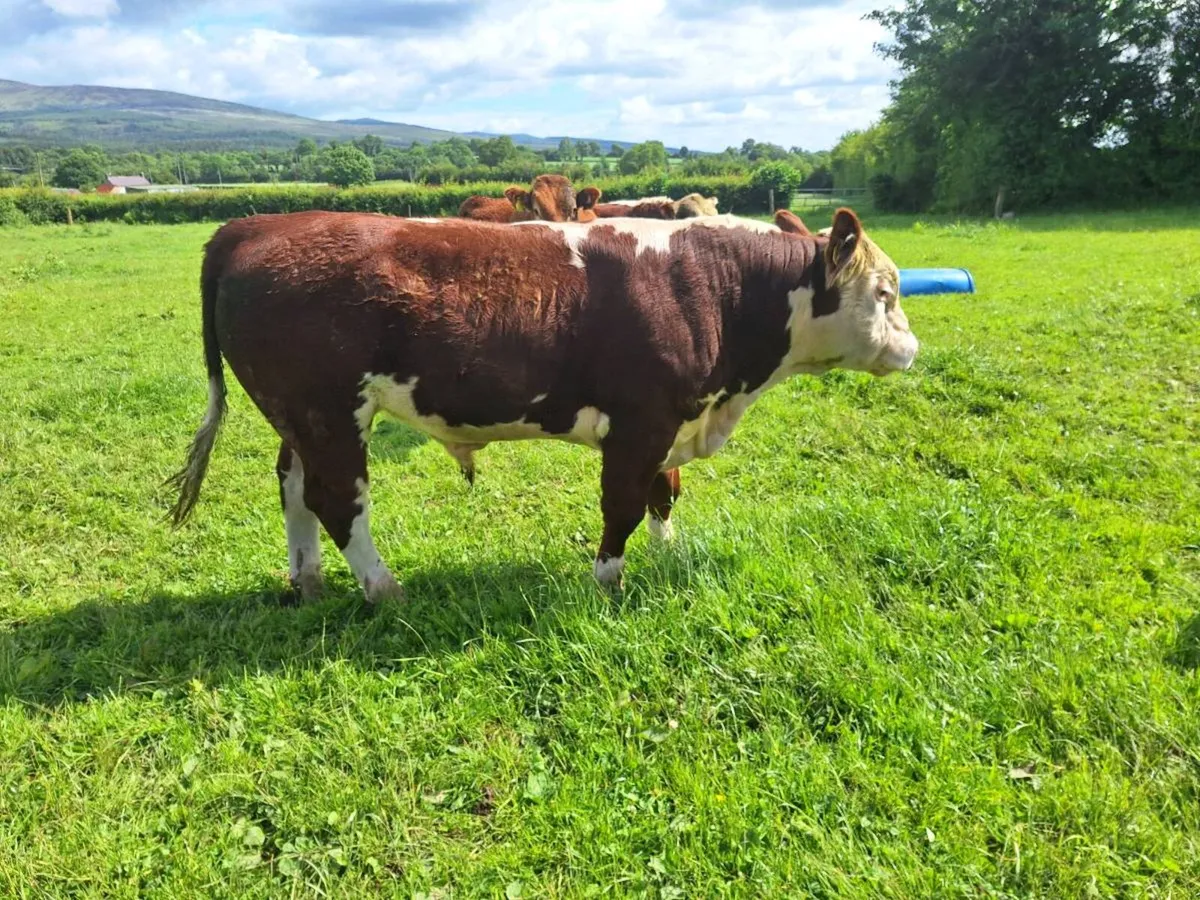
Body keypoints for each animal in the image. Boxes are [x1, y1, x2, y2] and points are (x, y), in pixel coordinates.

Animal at [168, 208, 918, 603]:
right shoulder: (641, 421)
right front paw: (608, 580)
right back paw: (384, 588)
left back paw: (309, 579)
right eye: (885, 292)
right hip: (329, 413)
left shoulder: (672, 420)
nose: (912, 348)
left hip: (301, 417)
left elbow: (664, 492)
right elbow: (623, 503)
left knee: (294, 487)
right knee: (337, 499)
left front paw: (669, 553)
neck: (712, 287)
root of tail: (254, 225)